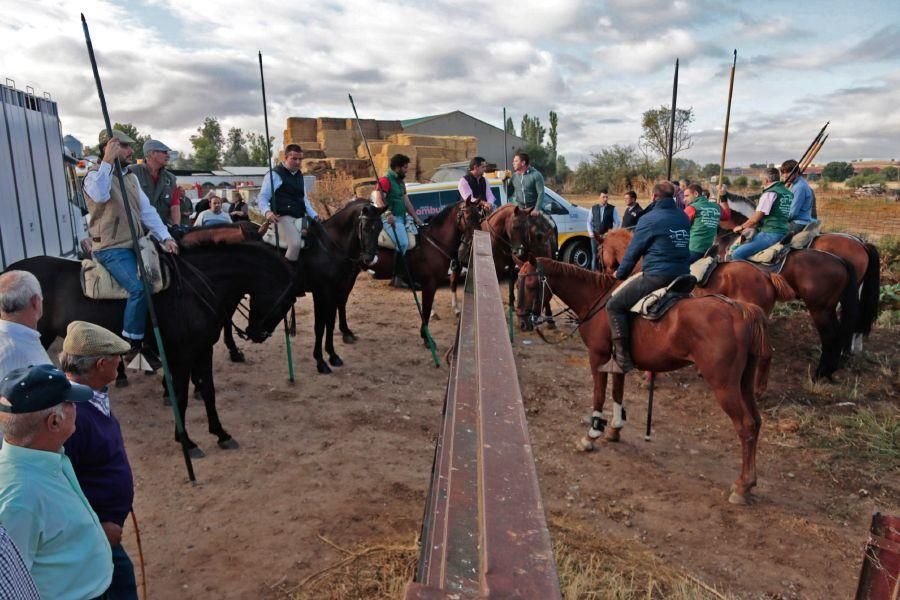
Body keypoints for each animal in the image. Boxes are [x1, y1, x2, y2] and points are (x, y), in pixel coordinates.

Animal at [8, 241, 296, 458]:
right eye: (286, 301)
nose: (257, 334)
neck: (195, 288)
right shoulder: (181, 355)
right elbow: (180, 396)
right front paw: (187, 442)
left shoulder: (203, 350)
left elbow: (209, 391)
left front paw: (221, 434)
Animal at [516, 258, 768, 506]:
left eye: (531, 286)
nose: (522, 321)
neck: (595, 298)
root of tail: (741, 312)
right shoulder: (617, 361)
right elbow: (617, 393)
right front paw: (615, 430)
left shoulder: (598, 357)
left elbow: (599, 395)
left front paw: (591, 435)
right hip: (744, 384)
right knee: (755, 422)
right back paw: (750, 481)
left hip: (724, 386)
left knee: (745, 426)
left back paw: (742, 486)